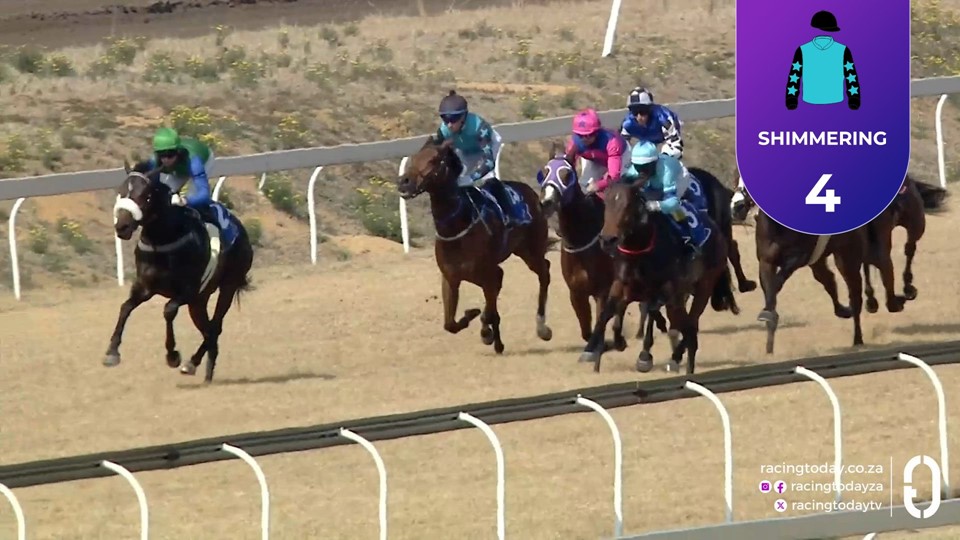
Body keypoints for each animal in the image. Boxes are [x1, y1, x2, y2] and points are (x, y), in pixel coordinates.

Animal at [104, 160, 254, 383]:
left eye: (146, 196)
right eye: (121, 191)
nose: (122, 226)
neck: (163, 240)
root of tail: (241, 229)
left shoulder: (187, 291)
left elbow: (168, 311)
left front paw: (172, 355)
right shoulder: (145, 287)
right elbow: (125, 308)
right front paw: (112, 352)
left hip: (227, 285)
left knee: (215, 326)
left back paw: (192, 363)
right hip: (199, 301)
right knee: (208, 329)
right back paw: (206, 371)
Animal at [396, 136, 553, 354]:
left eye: (434, 160)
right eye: (415, 156)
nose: (404, 181)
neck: (457, 228)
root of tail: (530, 193)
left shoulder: (489, 273)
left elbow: (489, 308)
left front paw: (486, 330)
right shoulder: (451, 278)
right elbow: (450, 324)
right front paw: (476, 320)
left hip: (532, 250)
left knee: (544, 273)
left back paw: (542, 327)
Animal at [536, 145, 668, 352]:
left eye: (567, 174)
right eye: (545, 171)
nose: (547, 202)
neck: (581, 239)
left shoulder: (603, 291)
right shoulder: (576, 293)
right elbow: (586, 330)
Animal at [585, 181, 738, 374]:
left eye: (628, 205)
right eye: (606, 203)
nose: (607, 239)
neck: (641, 250)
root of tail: (717, 231)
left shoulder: (665, 289)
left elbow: (651, 309)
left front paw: (644, 356)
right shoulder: (623, 285)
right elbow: (609, 311)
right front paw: (602, 345)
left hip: (704, 286)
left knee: (691, 326)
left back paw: (678, 358)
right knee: (686, 325)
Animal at [862, 175, 948, 313]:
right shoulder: (915, 225)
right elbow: (909, 250)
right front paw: (908, 288)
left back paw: (873, 301)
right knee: (888, 261)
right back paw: (894, 301)